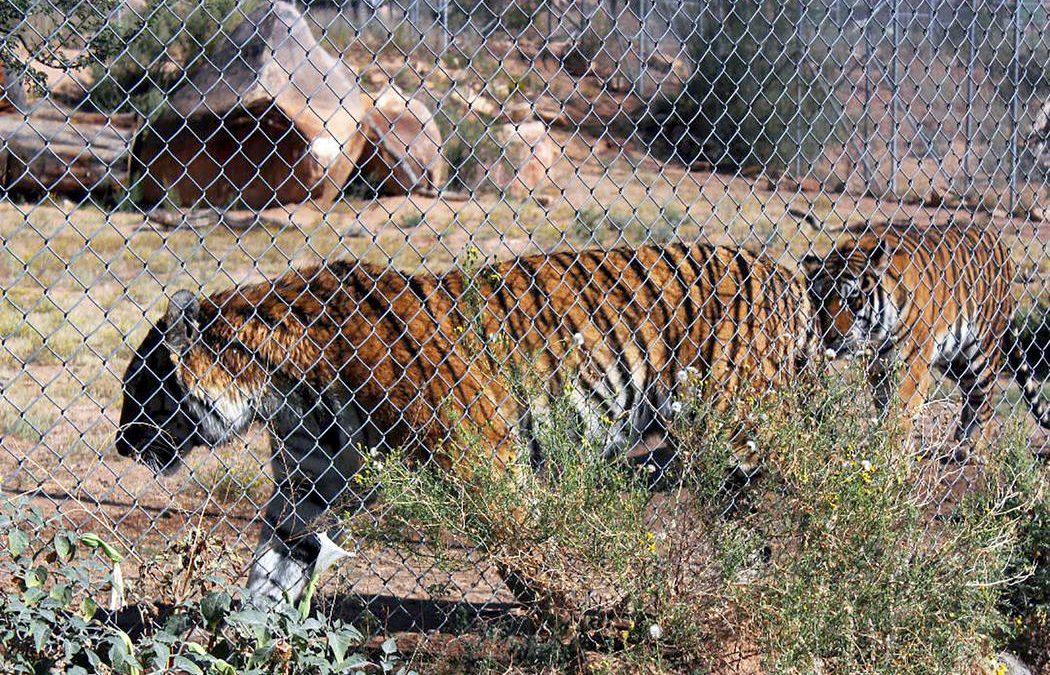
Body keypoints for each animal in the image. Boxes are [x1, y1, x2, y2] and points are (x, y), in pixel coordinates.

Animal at [114, 241, 818, 608]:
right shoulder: (308, 487)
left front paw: (569, 613)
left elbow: (524, 554)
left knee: (797, 505)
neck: (282, 386)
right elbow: (272, 569)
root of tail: (784, 270)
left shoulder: (487, 462)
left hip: (743, 433)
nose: (121, 446)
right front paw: (242, 636)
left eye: (140, 391)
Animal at [797, 223, 1045, 453]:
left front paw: (891, 450)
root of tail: (997, 239)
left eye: (851, 300)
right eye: (820, 300)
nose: (829, 336)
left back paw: (973, 447)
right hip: (954, 360)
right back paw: (960, 438)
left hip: (980, 352)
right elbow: (884, 406)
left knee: (983, 400)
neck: (877, 334)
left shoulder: (911, 365)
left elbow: (901, 412)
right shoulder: (879, 366)